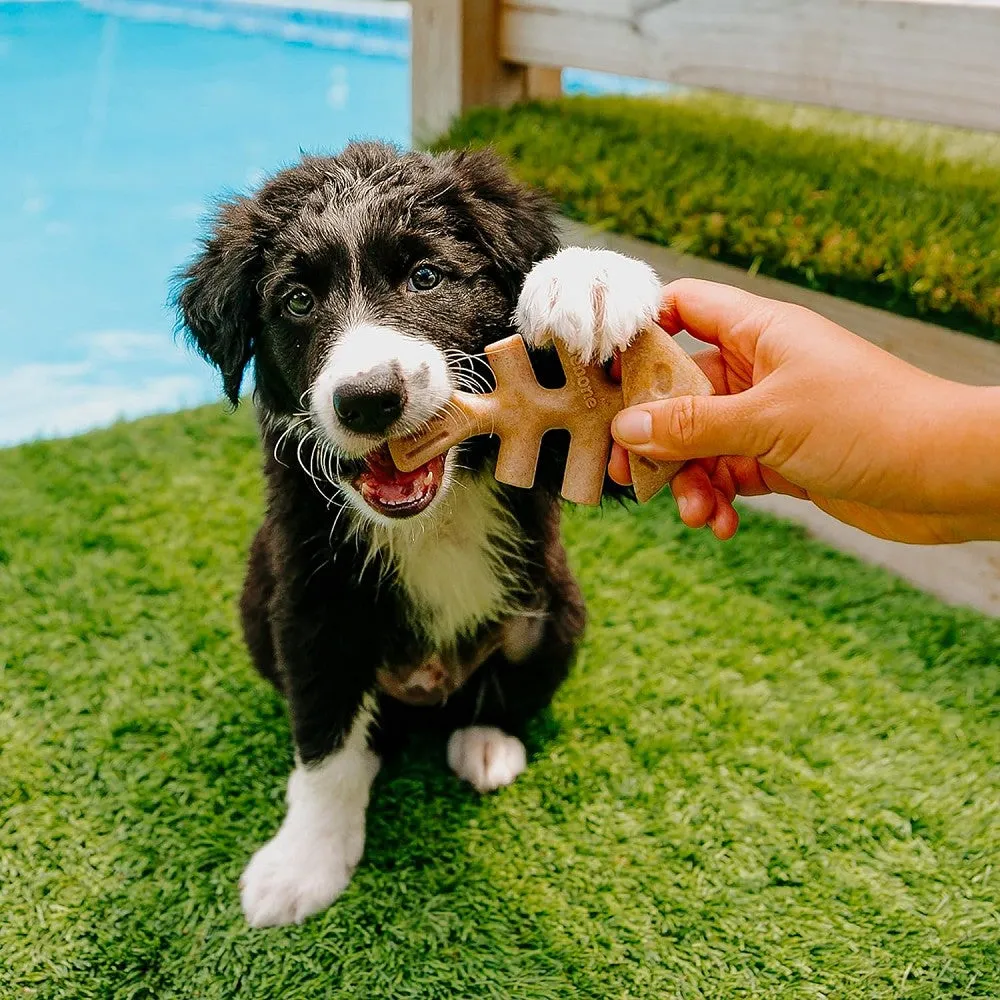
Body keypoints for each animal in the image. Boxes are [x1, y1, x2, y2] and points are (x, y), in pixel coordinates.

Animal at [178, 143, 664, 928]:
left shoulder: (560, 446)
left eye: (426, 277)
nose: (369, 399)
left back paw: (488, 745)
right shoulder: (311, 600)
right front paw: (303, 864)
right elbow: (323, 739)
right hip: (258, 599)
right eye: (297, 301)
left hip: (558, 608)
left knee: (504, 690)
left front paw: (587, 278)